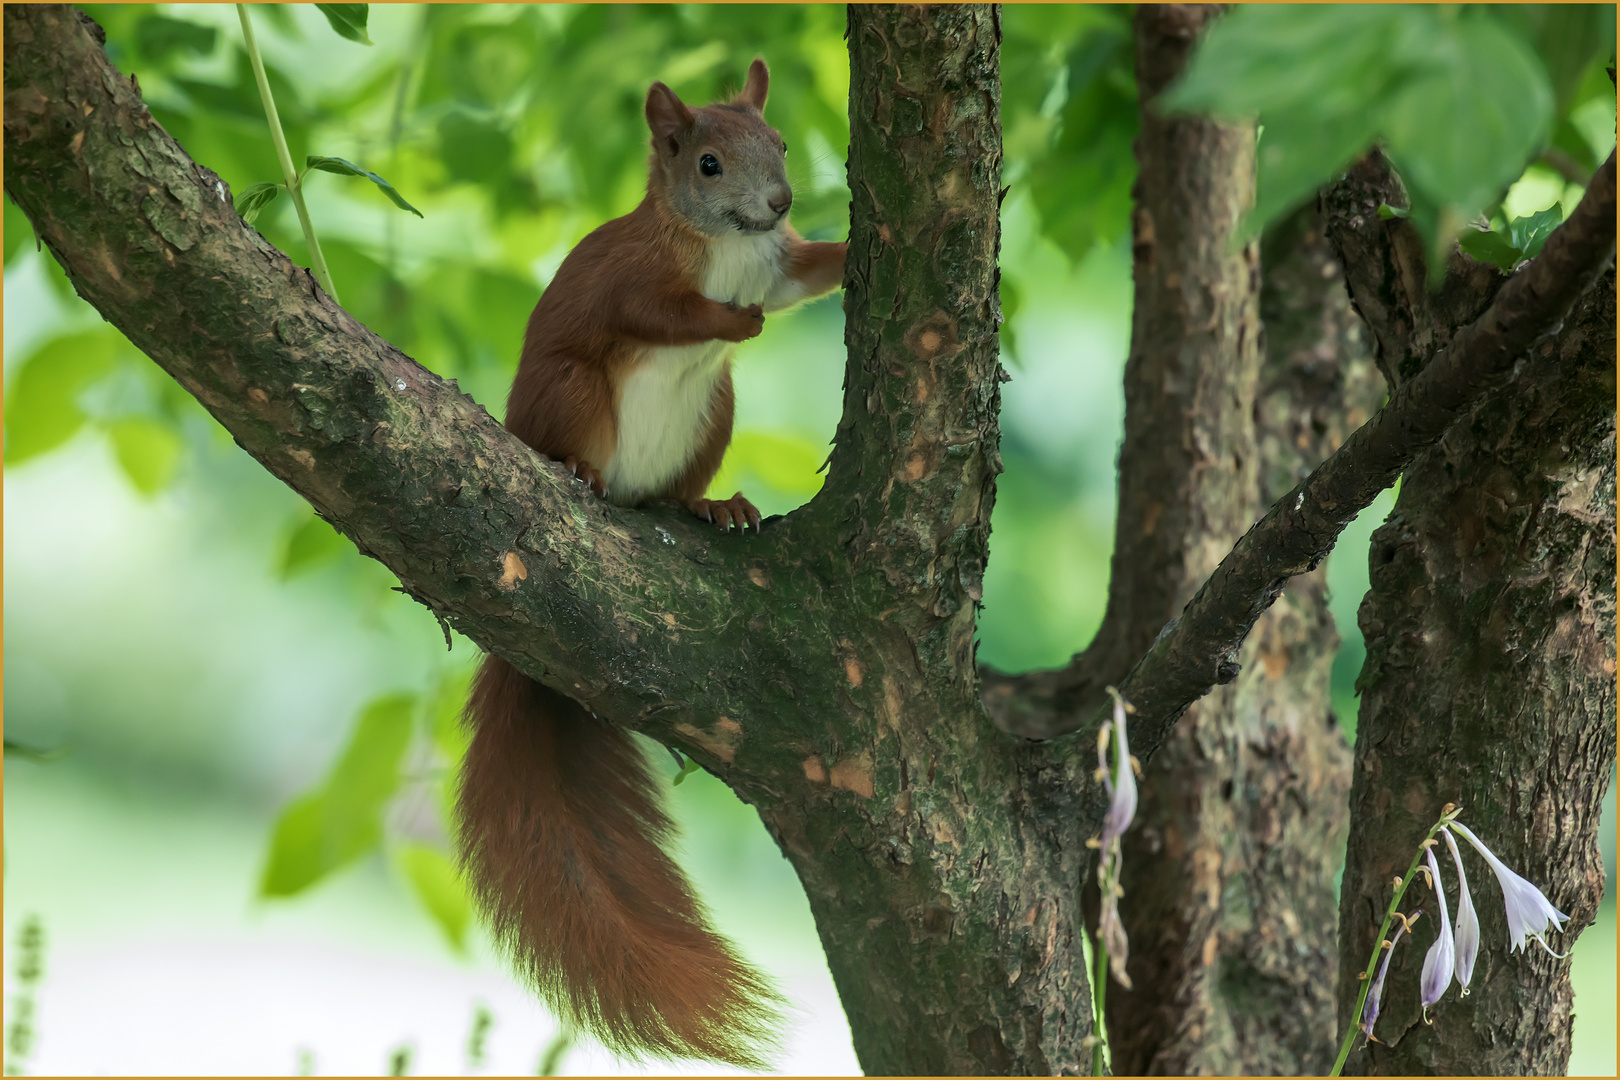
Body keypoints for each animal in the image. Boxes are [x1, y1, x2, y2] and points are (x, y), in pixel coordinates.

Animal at [456, 63, 848, 1068]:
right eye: (707, 162)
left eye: (779, 143)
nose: (781, 200)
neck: (725, 243)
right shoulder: (635, 277)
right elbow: (659, 312)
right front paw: (728, 319)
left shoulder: (779, 262)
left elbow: (806, 274)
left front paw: (860, 240)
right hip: (576, 391)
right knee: (588, 428)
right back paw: (580, 472)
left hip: (713, 417)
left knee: (670, 497)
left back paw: (710, 508)